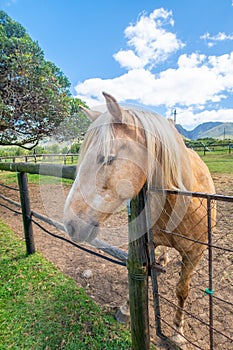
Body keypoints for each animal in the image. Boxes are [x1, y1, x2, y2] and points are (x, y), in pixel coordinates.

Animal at [63, 91, 215, 346]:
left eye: (108, 158)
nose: (70, 224)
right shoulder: (145, 242)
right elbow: (136, 274)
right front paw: (126, 308)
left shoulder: (195, 254)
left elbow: (182, 291)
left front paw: (178, 332)